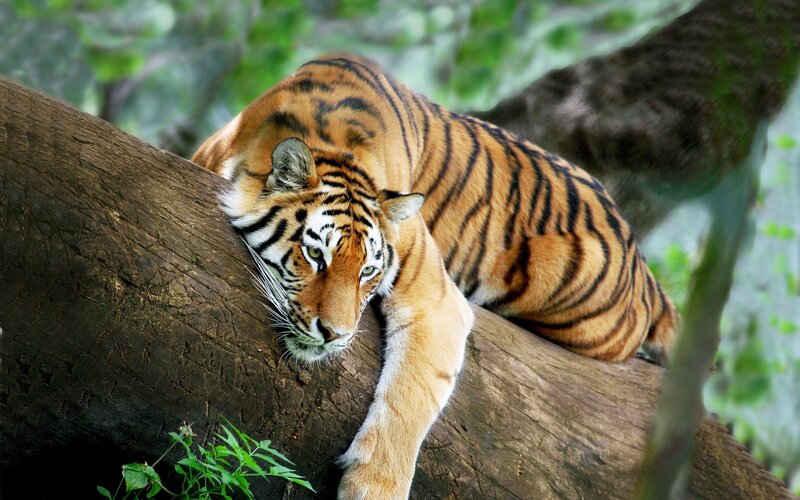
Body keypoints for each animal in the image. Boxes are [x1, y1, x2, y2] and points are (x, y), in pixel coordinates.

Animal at [191, 53, 678, 499]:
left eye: (368, 270)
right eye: (315, 255)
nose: (335, 335)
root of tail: (641, 262)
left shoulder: (436, 299)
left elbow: (409, 398)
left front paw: (374, 488)